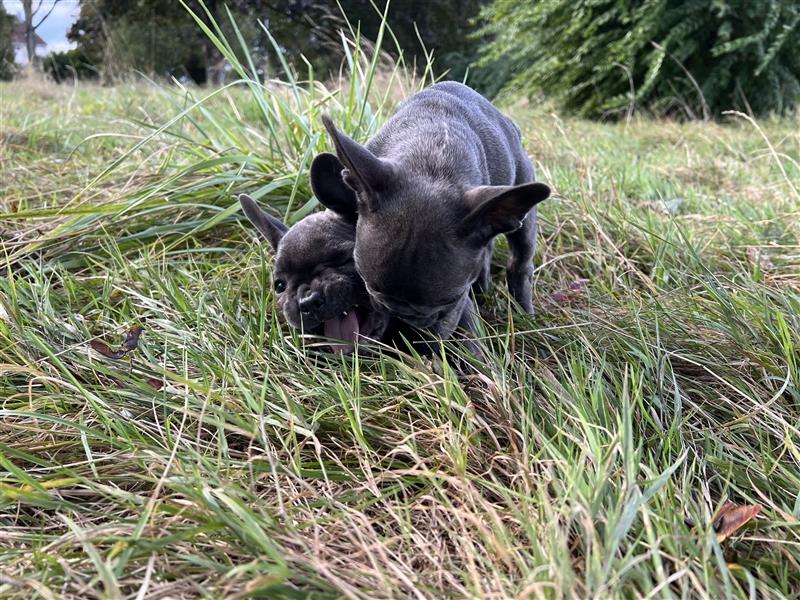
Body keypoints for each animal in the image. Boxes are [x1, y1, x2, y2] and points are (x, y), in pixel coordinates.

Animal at [310, 82, 552, 342]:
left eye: (450, 299)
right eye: (367, 284)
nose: (400, 315)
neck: (430, 160)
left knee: (519, 263)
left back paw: (524, 314)